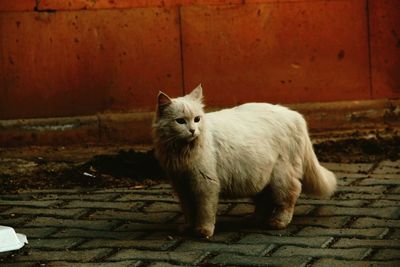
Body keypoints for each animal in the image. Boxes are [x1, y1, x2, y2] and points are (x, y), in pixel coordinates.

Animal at [152, 85, 336, 239]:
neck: (181, 152)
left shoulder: (205, 184)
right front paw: (188, 227)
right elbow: (188, 211)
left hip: (281, 177)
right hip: (257, 177)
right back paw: (254, 221)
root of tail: (295, 115)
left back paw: (278, 222)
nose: (192, 130)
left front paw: (203, 231)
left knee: (289, 197)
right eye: (180, 121)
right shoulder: (182, 186)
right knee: (264, 201)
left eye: (197, 119)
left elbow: (205, 212)